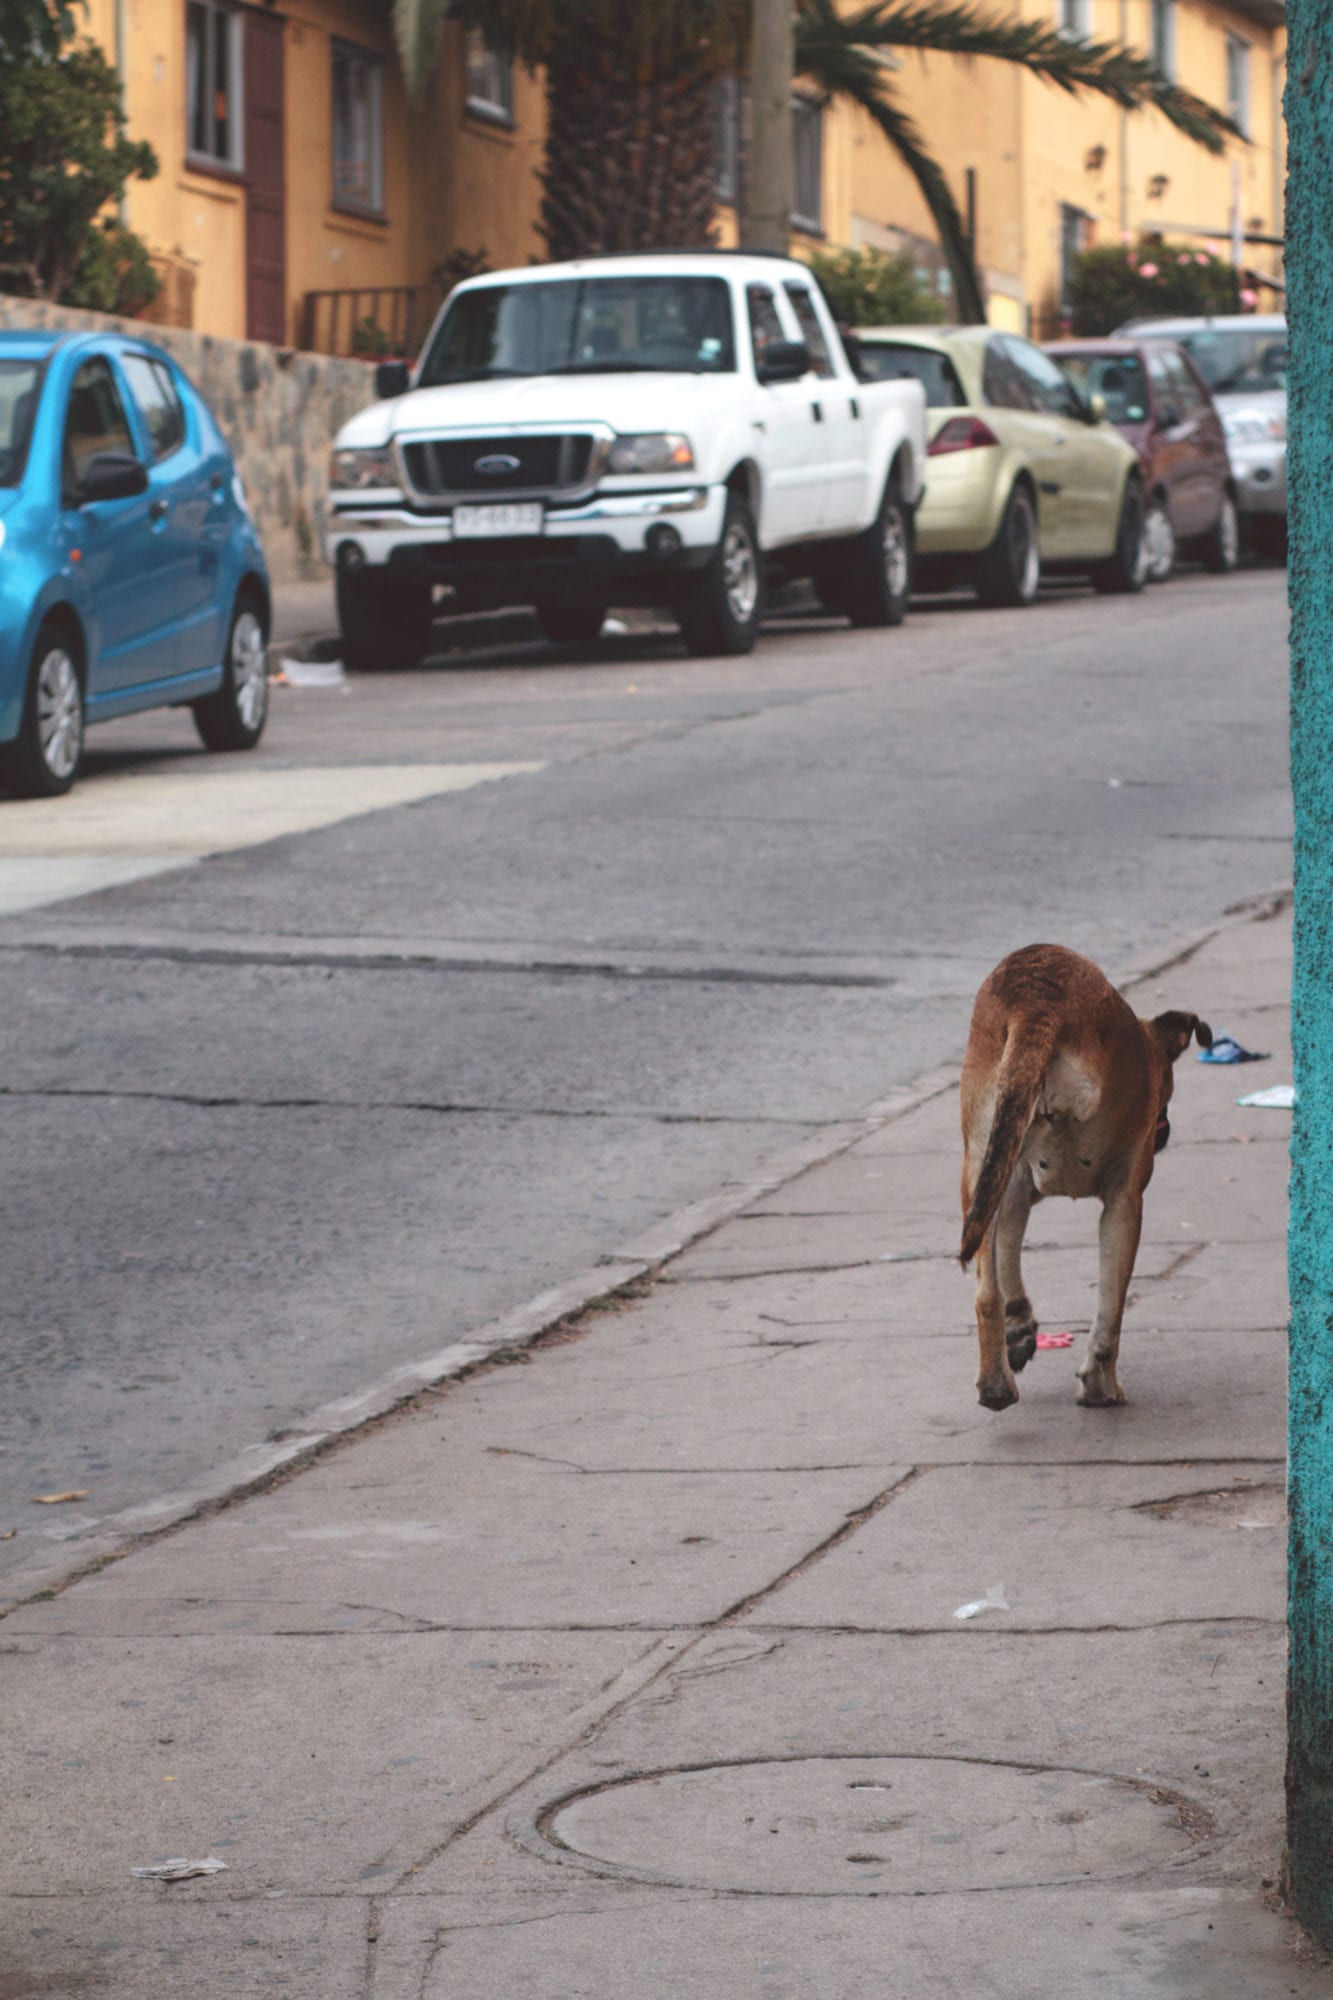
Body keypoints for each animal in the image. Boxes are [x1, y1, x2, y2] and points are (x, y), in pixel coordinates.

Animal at [956, 948, 1200, 1408]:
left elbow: (1007, 1254)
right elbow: (1111, 1305)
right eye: (1168, 1090)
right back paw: (1101, 1386)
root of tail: (1036, 1002)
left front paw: (1018, 1329)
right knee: (1108, 1307)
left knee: (985, 1292)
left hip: (982, 1157)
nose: (1164, 1132)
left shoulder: (1012, 1183)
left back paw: (996, 1382)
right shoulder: (1126, 1199)